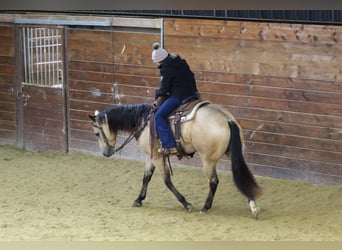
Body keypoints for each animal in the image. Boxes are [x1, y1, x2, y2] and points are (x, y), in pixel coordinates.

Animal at [89, 100, 262, 218]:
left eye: (97, 133)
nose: (105, 153)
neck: (144, 121)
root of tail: (227, 118)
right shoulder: (150, 156)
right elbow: (146, 177)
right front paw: (139, 199)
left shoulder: (157, 156)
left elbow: (166, 180)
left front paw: (186, 204)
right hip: (232, 154)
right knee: (242, 176)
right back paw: (253, 206)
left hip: (207, 160)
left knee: (213, 181)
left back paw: (205, 207)